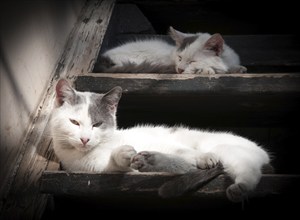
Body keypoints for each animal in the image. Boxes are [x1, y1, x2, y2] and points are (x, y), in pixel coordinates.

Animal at [51, 79, 270, 203]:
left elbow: (183, 150)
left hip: (227, 149)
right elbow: (115, 163)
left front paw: (203, 157)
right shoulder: (97, 167)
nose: (85, 139)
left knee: (247, 169)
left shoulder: (163, 141)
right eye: (74, 122)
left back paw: (238, 186)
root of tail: (264, 153)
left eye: (97, 124)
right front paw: (124, 154)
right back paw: (148, 161)